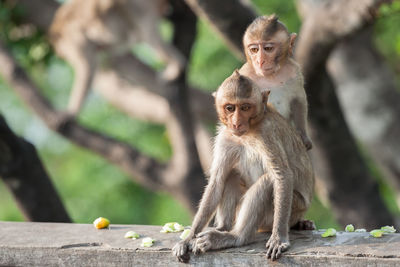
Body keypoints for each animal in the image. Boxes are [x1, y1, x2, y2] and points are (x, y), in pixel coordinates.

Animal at [48, 0, 184, 114]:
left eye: (63, 52)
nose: (63, 54)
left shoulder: (74, 39)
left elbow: (88, 66)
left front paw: (71, 112)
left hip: (136, 8)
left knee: (147, 33)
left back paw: (177, 65)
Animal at [172, 70, 316, 262]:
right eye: (230, 108)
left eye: (246, 107)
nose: (236, 122)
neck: (248, 133)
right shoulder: (226, 137)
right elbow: (217, 181)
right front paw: (188, 238)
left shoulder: (267, 133)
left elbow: (282, 175)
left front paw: (279, 238)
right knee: (231, 175)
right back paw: (223, 228)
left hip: (293, 209)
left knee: (267, 182)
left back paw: (237, 237)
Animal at [239, 14, 314, 151]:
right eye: (254, 50)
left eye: (268, 48)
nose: (260, 61)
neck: (271, 76)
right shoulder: (245, 74)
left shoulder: (294, 72)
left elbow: (298, 99)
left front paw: (303, 136)